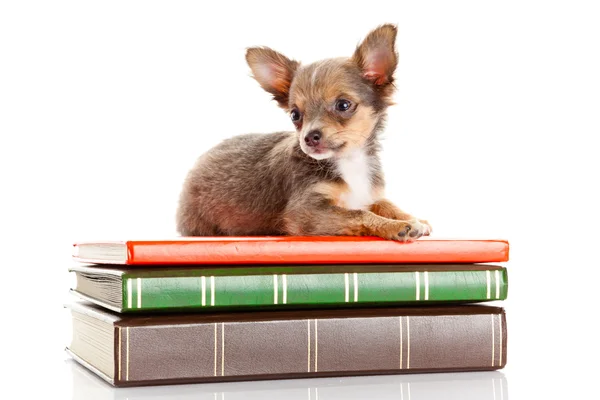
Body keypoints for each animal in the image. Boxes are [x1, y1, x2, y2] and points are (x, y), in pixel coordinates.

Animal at [175, 25, 432, 244]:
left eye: (343, 105)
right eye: (295, 115)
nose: (309, 137)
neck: (349, 161)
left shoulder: (369, 194)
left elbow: (386, 204)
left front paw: (412, 218)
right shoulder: (306, 212)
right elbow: (358, 214)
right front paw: (395, 226)